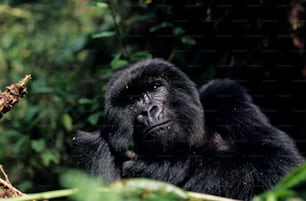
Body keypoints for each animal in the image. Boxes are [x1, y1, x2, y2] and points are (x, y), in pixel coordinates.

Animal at [74, 57, 304, 199]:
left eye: (155, 87)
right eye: (132, 100)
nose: (148, 111)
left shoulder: (227, 98)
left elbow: (281, 165)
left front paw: (163, 167)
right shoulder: (95, 148)